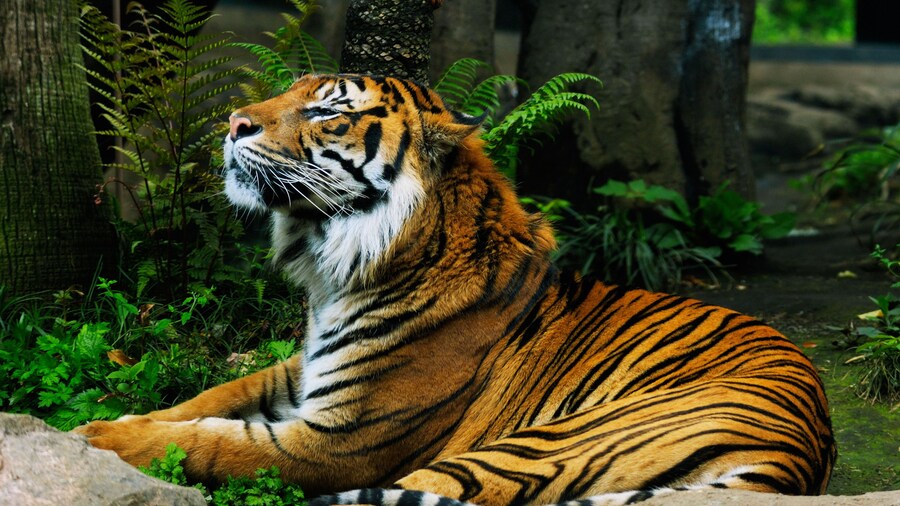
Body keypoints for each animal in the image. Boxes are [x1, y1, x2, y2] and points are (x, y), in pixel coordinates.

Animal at [74, 73, 836, 505]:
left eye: (326, 113)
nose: (232, 124)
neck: (333, 265)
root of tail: (798, 454)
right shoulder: (299, 372)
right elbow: (203, 402)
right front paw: (108, 423)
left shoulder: (339, 440)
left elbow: (217, 444)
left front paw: (93, 439)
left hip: (532, 447)